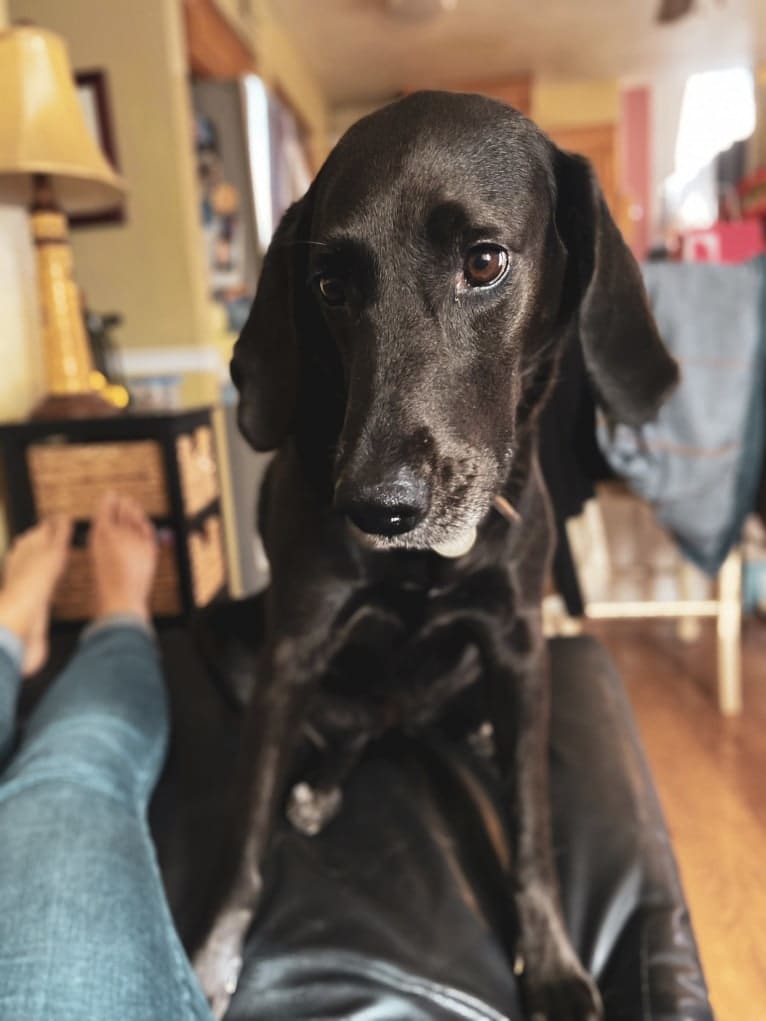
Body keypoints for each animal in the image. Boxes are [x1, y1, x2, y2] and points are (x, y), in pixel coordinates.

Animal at [193, 91, 678, 1016]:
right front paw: (212, 953)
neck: (429, 560)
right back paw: (321, 787)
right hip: (233, 644)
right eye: (331, 286)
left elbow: (532, 828)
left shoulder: (519, 640)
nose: (376, 508)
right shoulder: (291, 645)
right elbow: (243, 826)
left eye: (484, 261)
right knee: (339, 734)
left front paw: (552, 960)